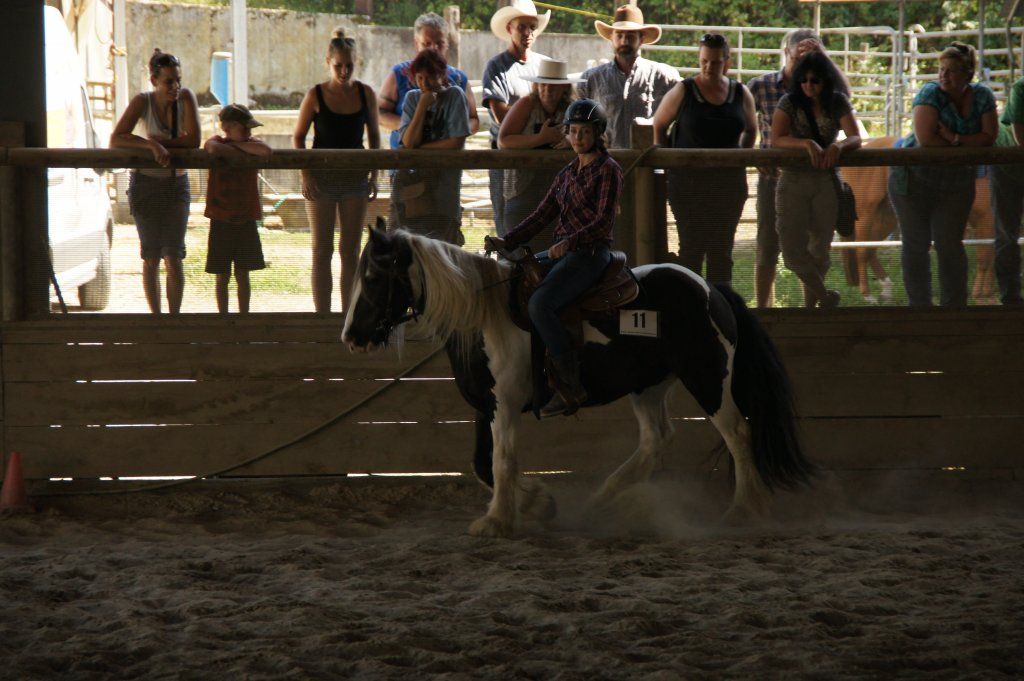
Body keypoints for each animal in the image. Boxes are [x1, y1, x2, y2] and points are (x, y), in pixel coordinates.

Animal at [341, 228, 815, 537]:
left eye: (373, 277)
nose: (350, 336)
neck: (485, 316)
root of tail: (712, 290)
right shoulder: (485, 405)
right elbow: (480, 464)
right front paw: (539, 503)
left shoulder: (506, 403)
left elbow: (502, 461)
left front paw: (497, 521)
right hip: (648, 386)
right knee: (656, 440)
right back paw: (599, 502)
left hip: (707, 377)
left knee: (737, 433)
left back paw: (744, 510)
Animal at [841, 136, 996, 304]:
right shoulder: (985, 220)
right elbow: (985, 259)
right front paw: (980, 296)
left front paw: (989, 295)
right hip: (865, 213)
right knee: (861, 248)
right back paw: (868, 295)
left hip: (887, 216)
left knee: (870, 247)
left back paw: (886, 290)